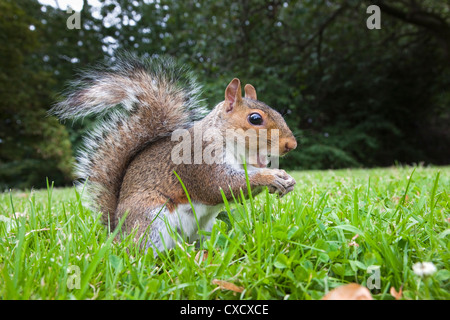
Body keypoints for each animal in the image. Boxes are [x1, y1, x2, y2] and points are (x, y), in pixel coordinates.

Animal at [52, 54, 298, 255]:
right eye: (255, 118)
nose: (291, 144)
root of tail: (118, 232)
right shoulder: (199, 160)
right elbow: (220, 186)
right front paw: (269, 176)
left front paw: (286, 179)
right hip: (152, 221)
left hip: (203, 228)